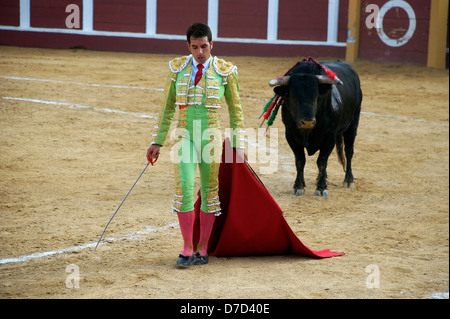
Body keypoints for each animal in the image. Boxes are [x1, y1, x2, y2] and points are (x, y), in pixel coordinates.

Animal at [270, 59, 362, 195]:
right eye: (293, 97)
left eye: (316, 96)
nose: (307, 122)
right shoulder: (290, 134)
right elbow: (300, 160)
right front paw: (298, 186)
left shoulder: (329, 136)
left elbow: (322, 161)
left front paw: (321, 188)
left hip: (353, 123)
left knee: (349, 151)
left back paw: (349, 180)